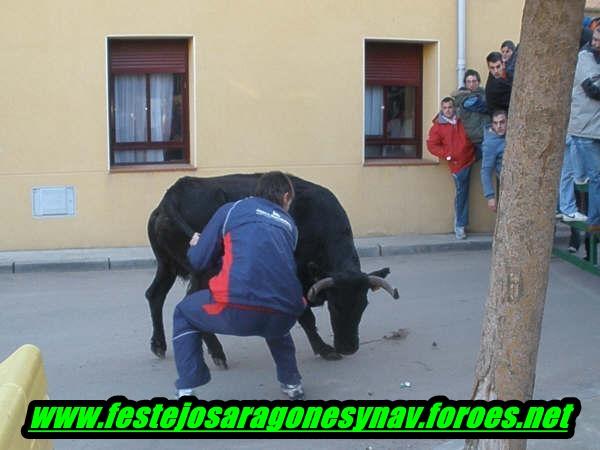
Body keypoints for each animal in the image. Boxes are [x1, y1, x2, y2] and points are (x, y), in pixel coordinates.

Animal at [145, 172, 398, 366]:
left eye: (364, 305)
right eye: (335, 306)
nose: (348, 348)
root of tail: (175, 192)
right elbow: (306, 317)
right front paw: (324, 349)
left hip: (167, 265)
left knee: (155, 295)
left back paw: (159, 344)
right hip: (201, 272)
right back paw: (217, 353)